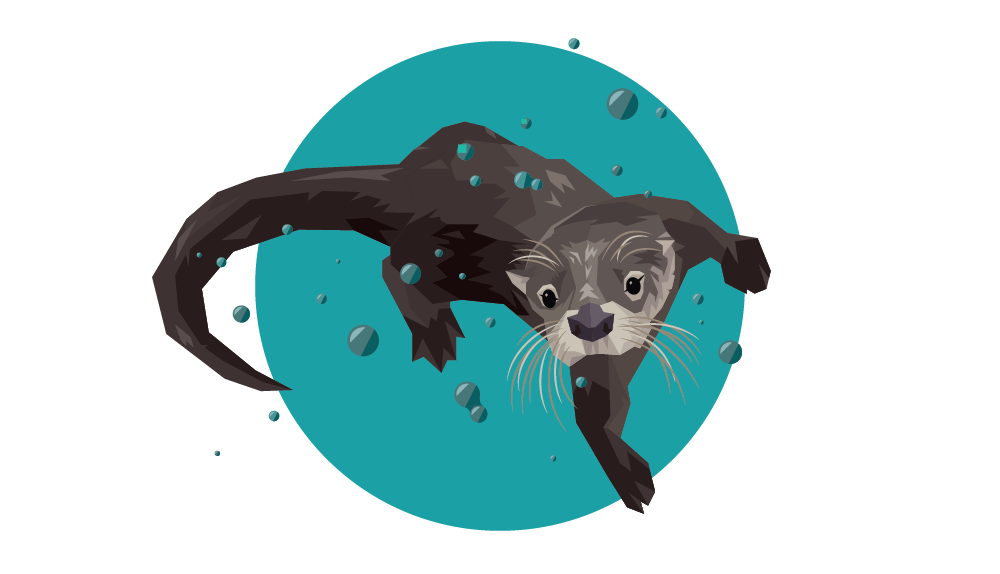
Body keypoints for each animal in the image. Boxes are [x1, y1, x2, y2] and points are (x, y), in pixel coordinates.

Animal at [152, 122, 771, 514]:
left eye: (634, 283)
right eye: (548, 296)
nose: (589, 322)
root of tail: (407, 178)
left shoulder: (666, 215)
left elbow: (706, 225)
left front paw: (748, 264)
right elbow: (593, 411)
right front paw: (628, 475)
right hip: (443, 251)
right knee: (393, 265)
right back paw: (433, 330)